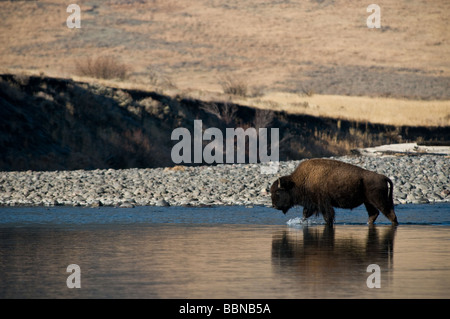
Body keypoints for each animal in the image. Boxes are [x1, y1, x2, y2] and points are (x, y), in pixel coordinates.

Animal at [268, 159, 400, 226]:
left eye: (278, 192)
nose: (273, 206)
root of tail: (383, 177)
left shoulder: (324, 205)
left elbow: (328, 216)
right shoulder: (312, 205)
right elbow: (305, 214)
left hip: (379, 201)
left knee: (390, 214)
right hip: (368, 202)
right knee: (373, 214)